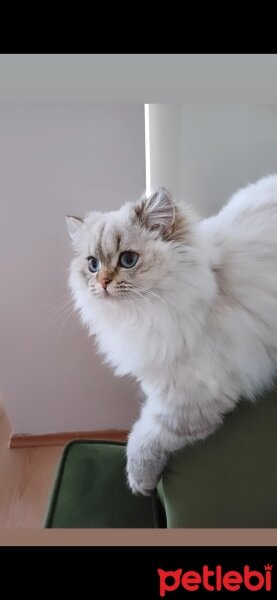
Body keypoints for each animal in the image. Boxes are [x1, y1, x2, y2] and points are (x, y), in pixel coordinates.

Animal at [66, 176, 277, 494]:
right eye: (93, 264)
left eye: (128, 260)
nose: (102, 283)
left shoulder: (189, 402)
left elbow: (143, 438)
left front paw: (141, 483)